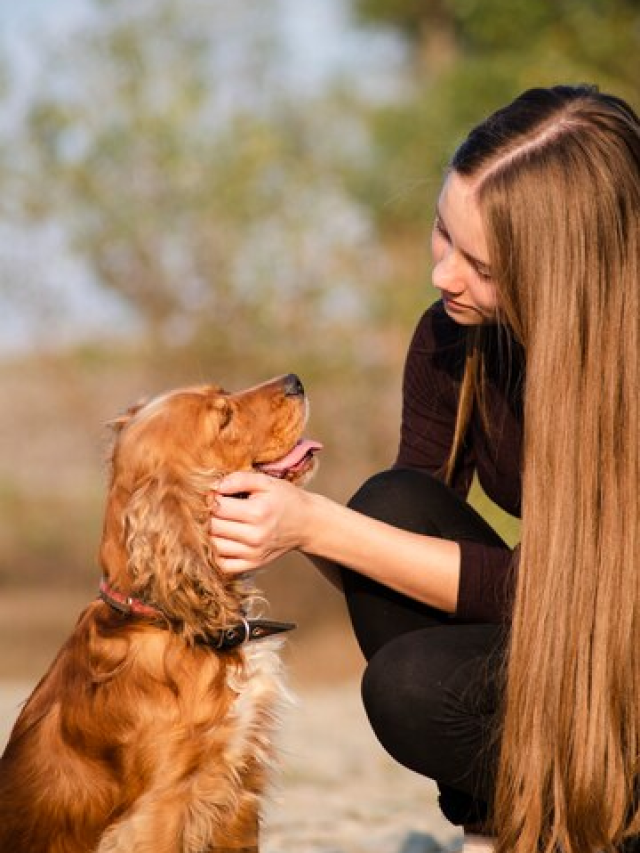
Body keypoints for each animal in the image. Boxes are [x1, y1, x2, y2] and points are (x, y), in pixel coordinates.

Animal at [0, 372, 320, 852]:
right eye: (224, 418)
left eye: (224, 392)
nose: (295, 380)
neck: (163, 617)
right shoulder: (162, 806)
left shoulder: (240, 784)